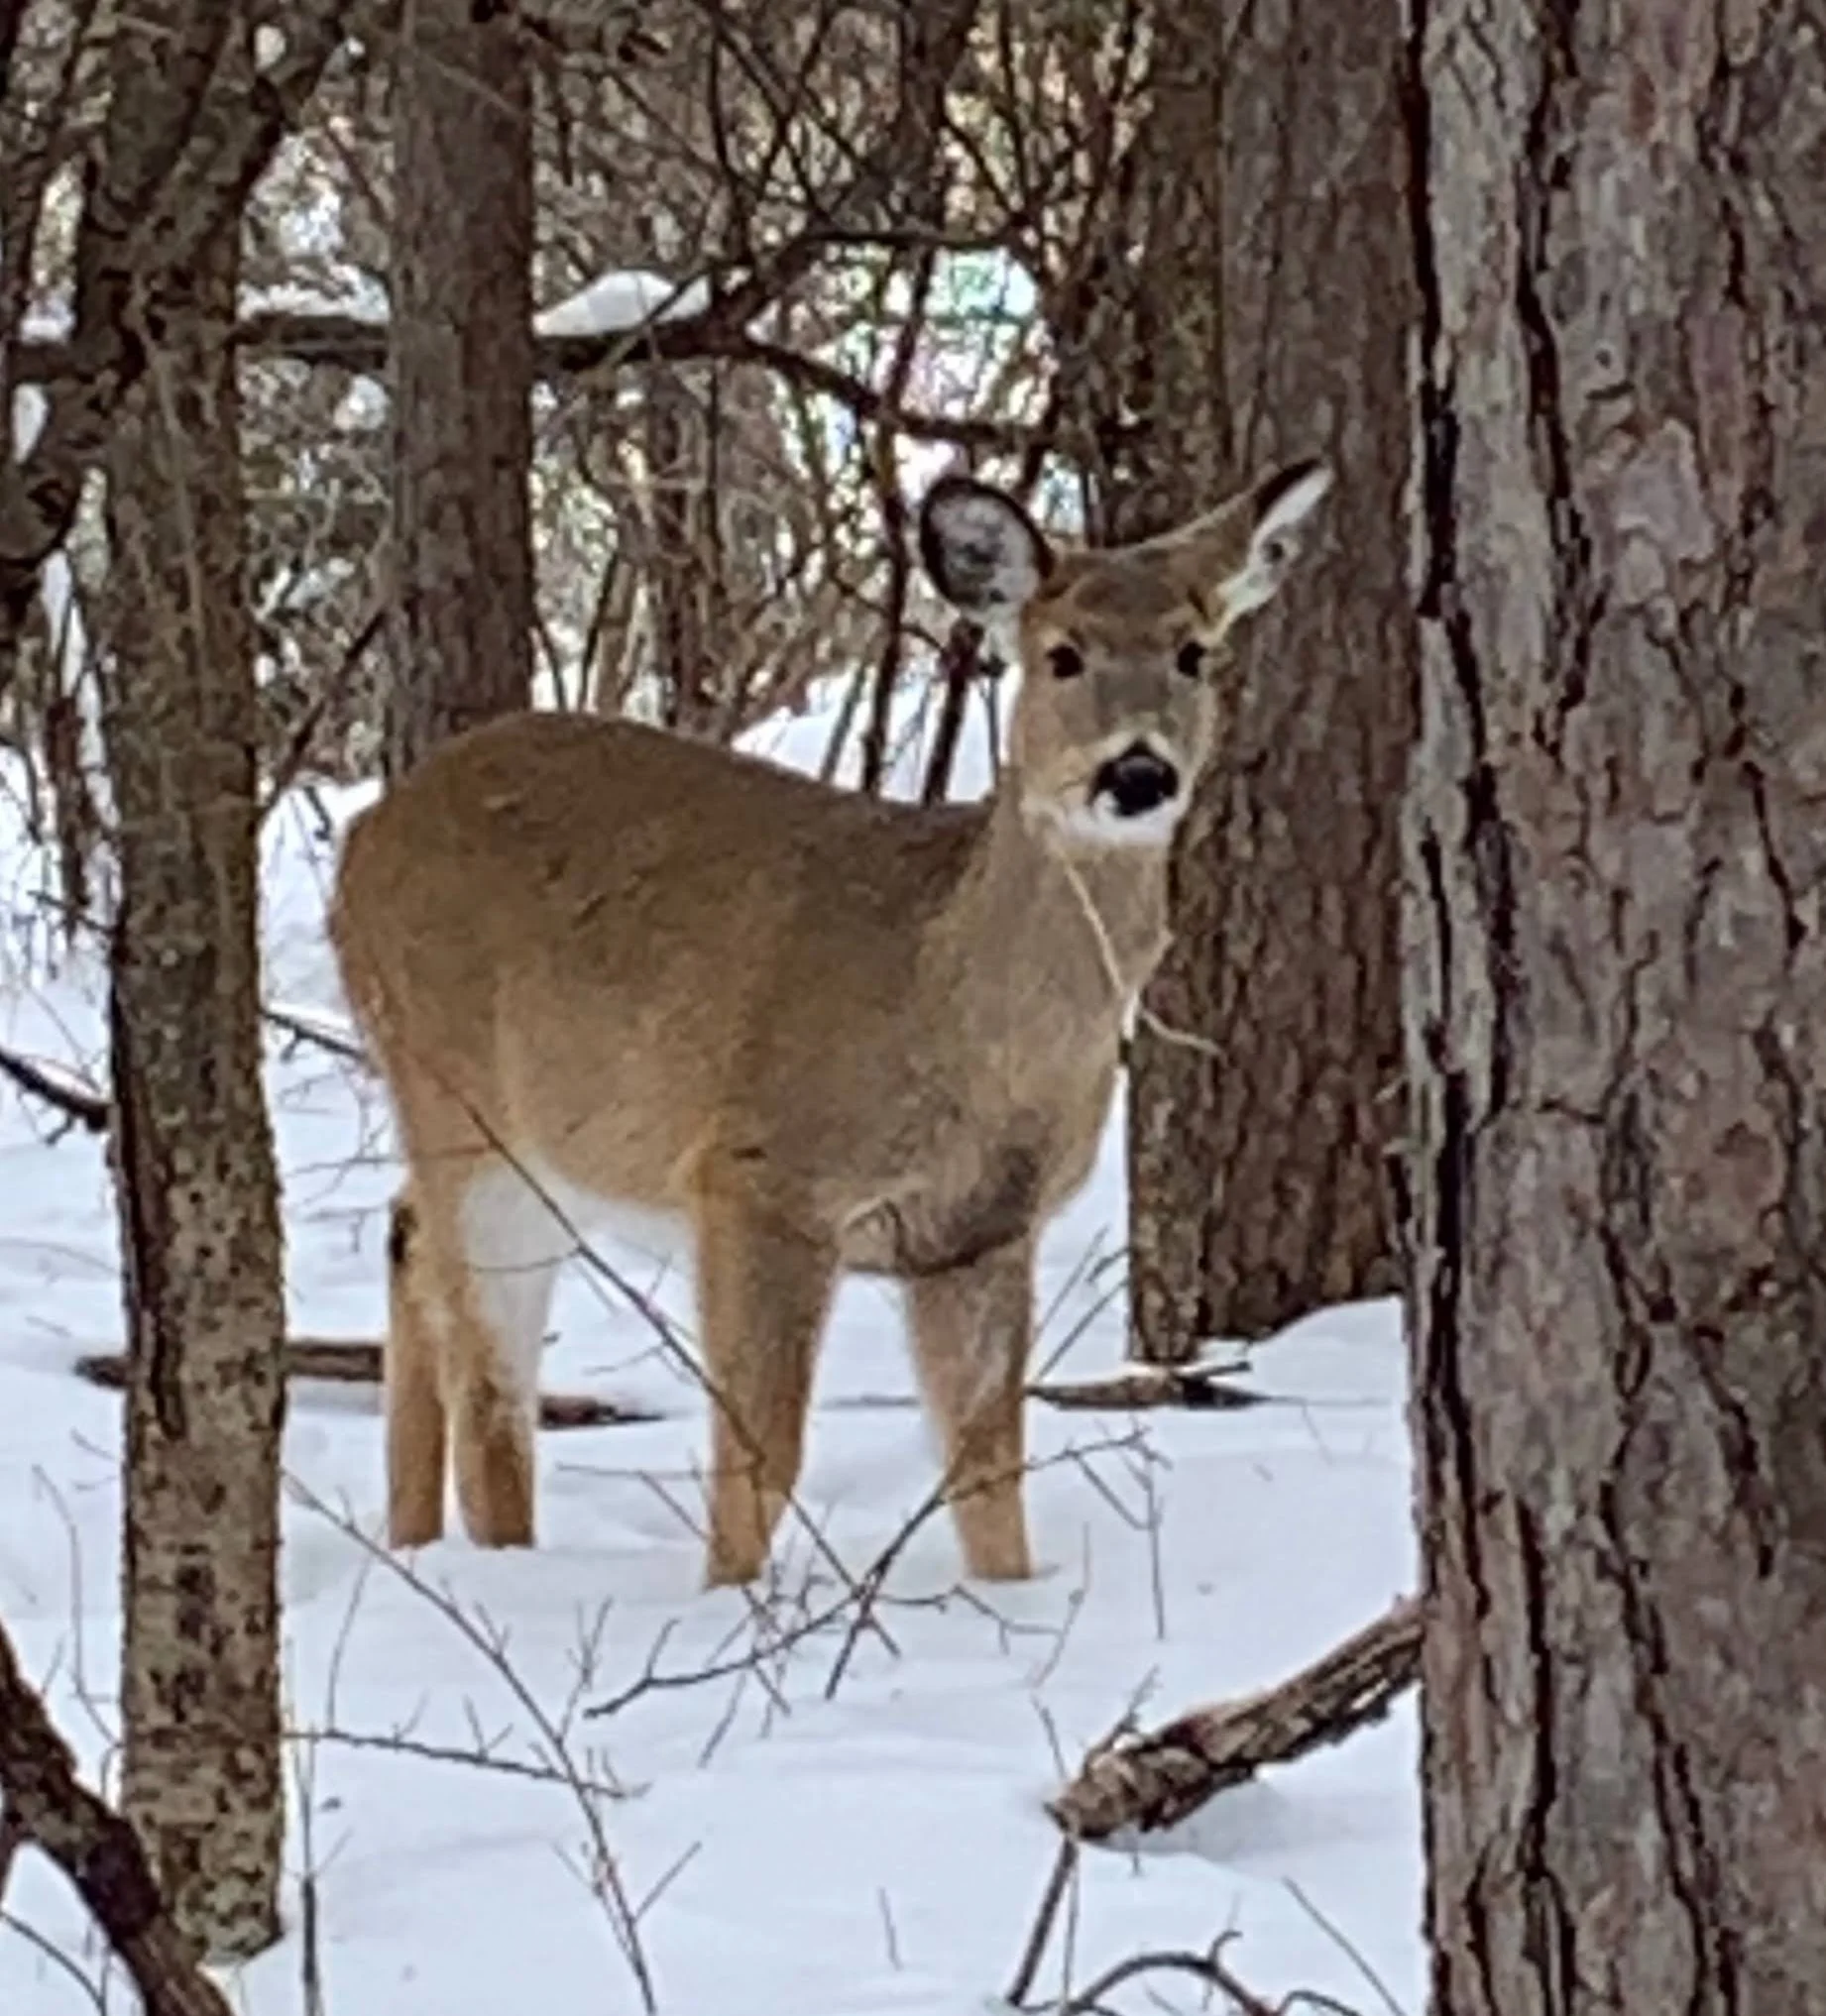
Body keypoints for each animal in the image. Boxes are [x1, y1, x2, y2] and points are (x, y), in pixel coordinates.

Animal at [327, 453, 1334, 1587]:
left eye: (1194, 652)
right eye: (1062, 655)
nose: (1139, 771)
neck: (951, 1013)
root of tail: (360, 839)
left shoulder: (979, 1232)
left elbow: (987, 1471)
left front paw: (1008, 1600)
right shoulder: (761, 1177)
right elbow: (762, 1454)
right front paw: (733, 1600)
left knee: (408, 1238)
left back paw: (412, 1546)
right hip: (465, 1106)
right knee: (490, 1389)